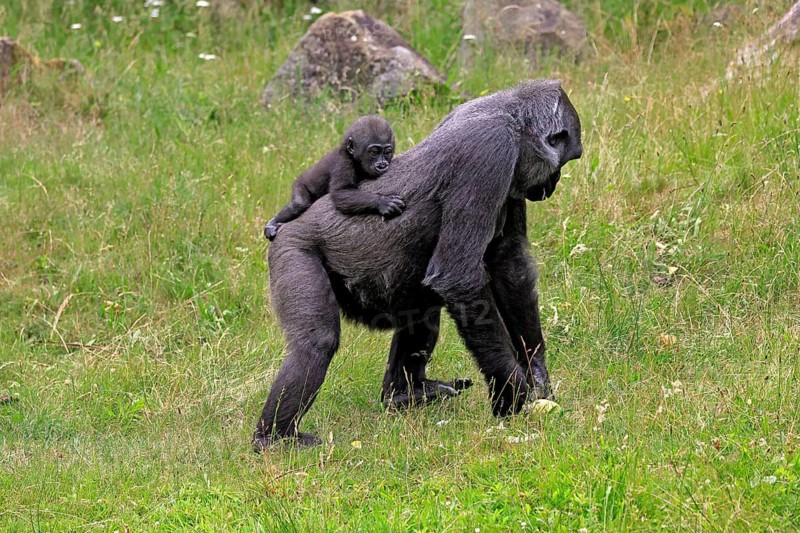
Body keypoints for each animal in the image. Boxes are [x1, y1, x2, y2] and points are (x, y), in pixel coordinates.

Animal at [263, 115, 403, 241]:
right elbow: (340, 192)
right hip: (300, 184)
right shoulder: (343, 163)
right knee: (299, 203)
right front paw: (382, 202)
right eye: (374, 152)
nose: (382, 165)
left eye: (387, 152)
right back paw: (272, 223)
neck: (352, 155)